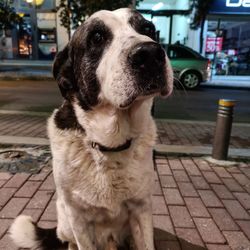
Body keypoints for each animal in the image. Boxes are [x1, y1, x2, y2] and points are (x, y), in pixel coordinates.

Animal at [10, 6, 173, 249]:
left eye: (148, 29)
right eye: (97, 37)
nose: (150, 53)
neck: (110, 146)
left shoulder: (142, 209)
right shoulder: (78, 217)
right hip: (65, 221)